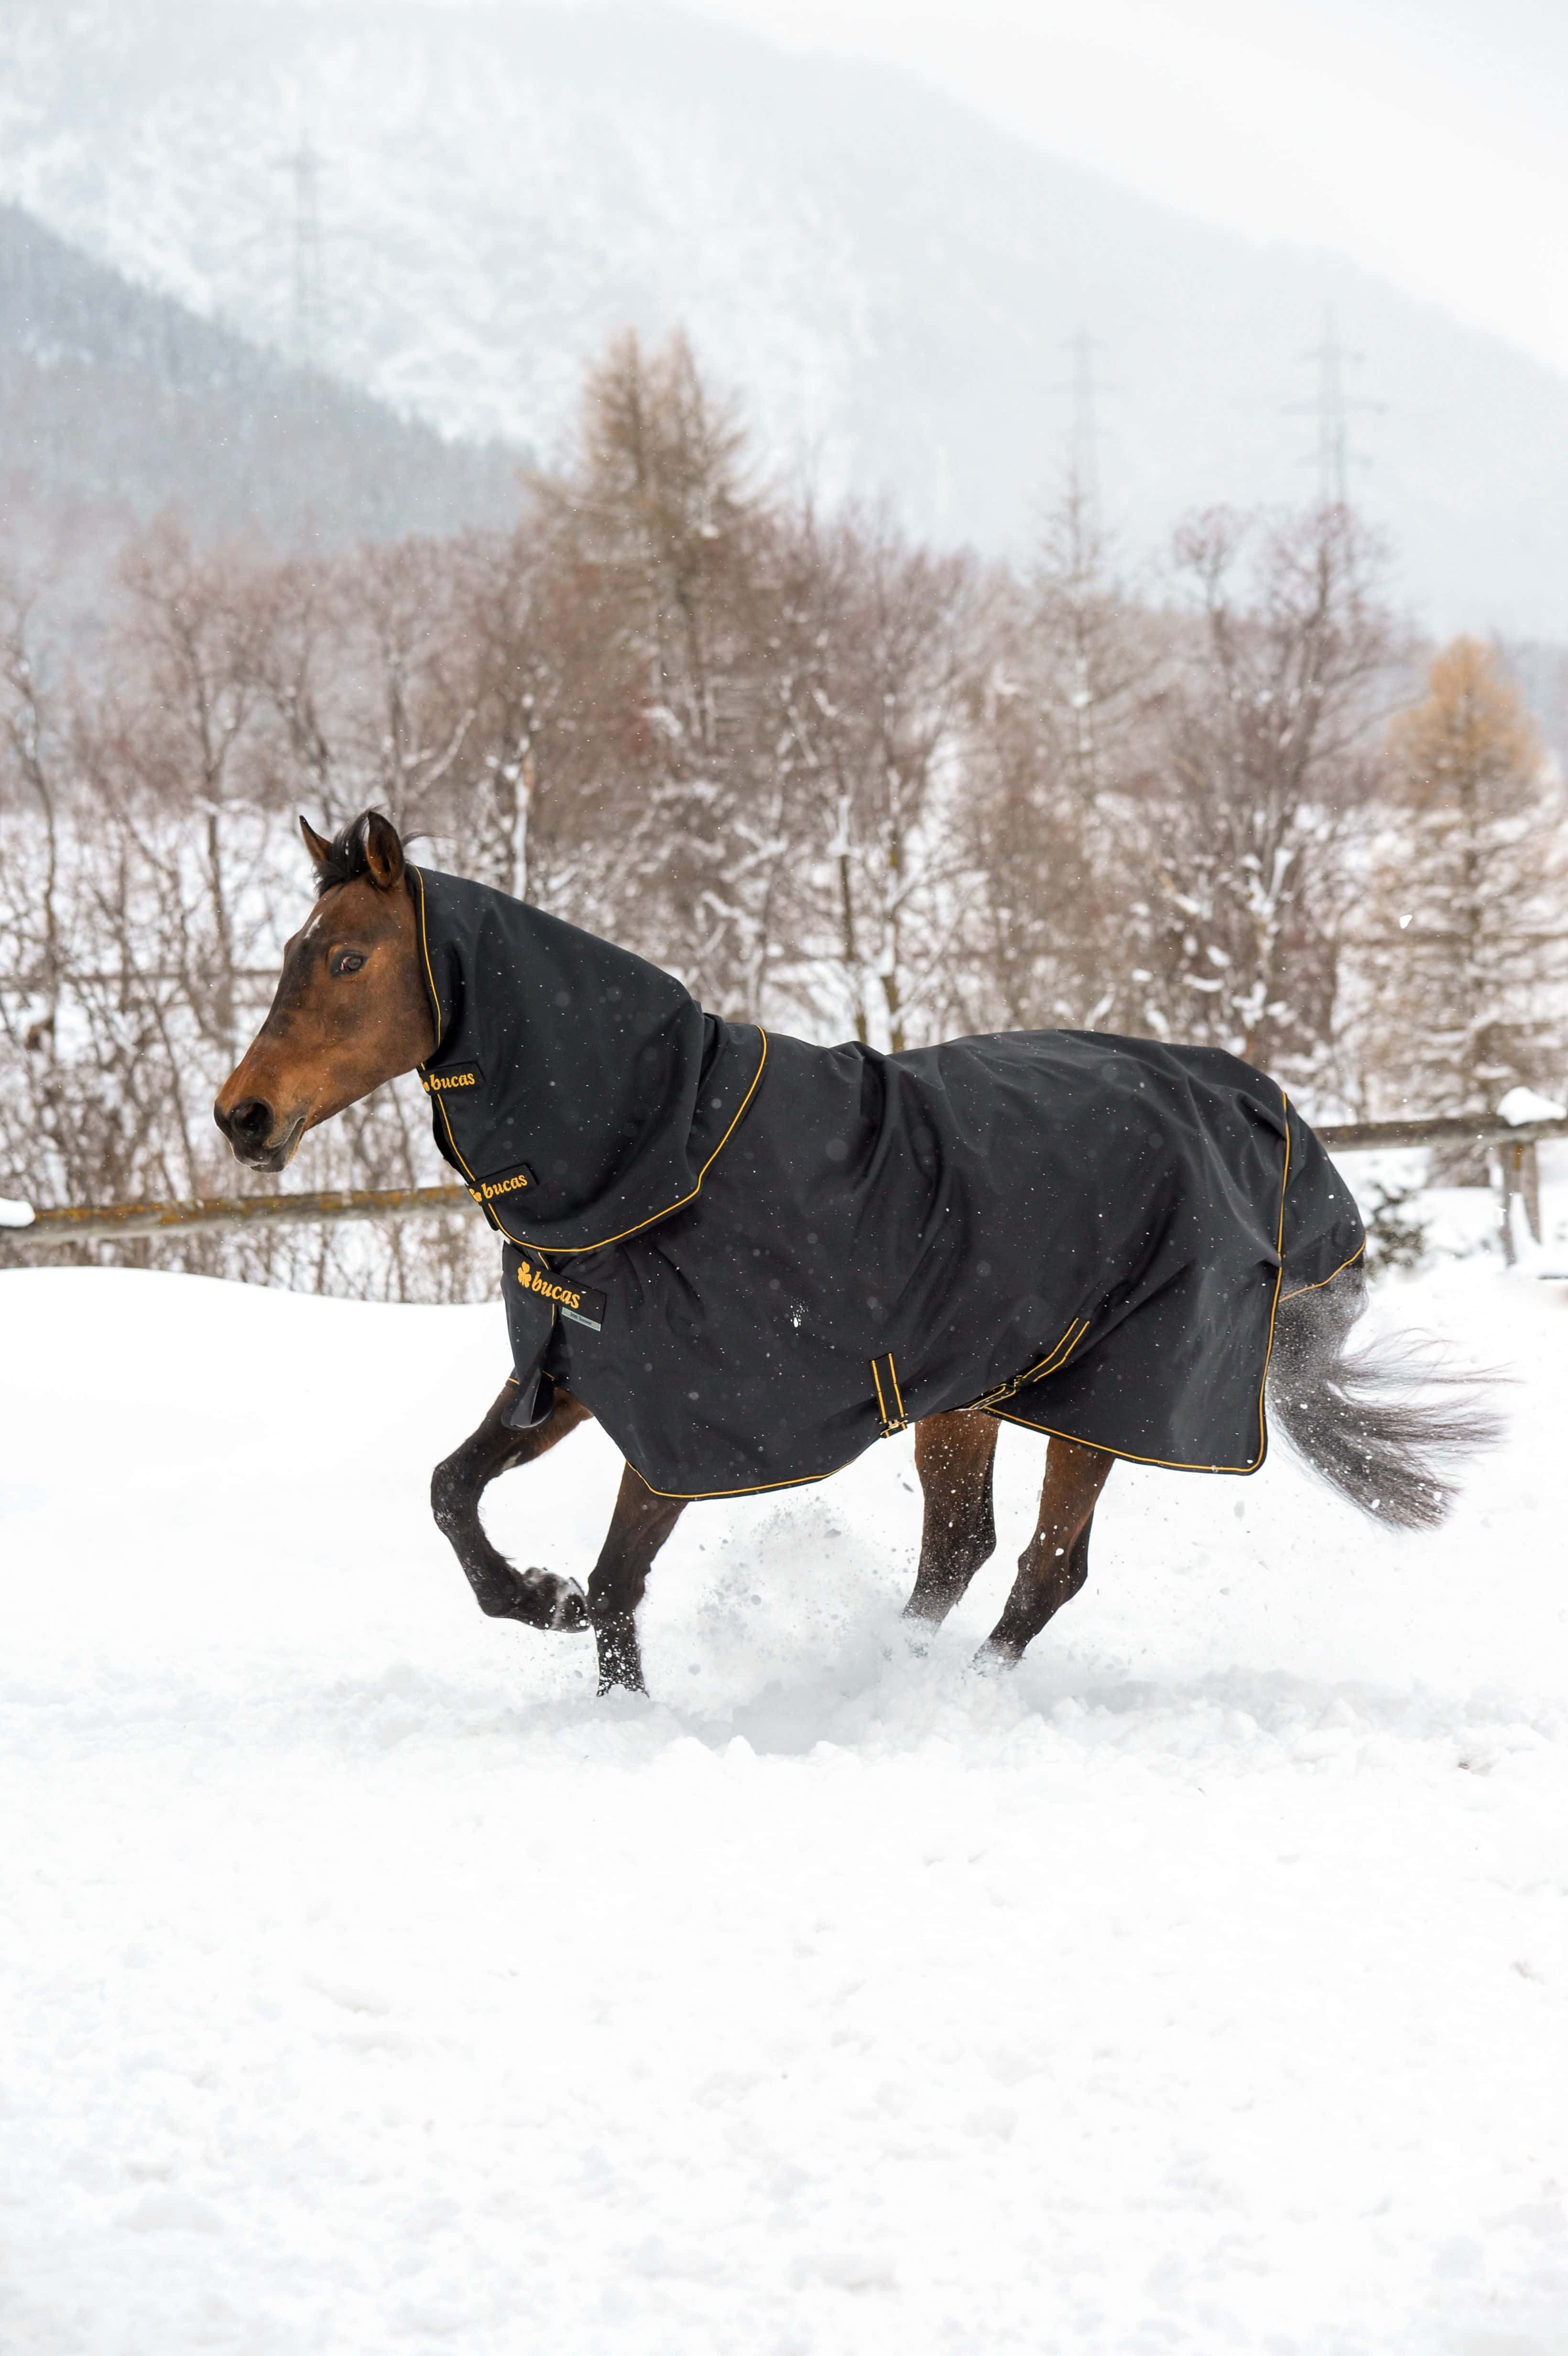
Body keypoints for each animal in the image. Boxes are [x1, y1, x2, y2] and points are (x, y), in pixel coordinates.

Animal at [215, 809, 1495, 1696]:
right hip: (969, 1394)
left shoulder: (693, 1420)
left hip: (1104, 1399)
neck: (652, 1153)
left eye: (346, 960)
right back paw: (893, 1666)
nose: (243, 1117)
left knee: (1044, 1566)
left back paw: (936, 1696)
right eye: (289, 949)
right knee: (959, 1549)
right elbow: (451, 1492)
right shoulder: (572, 1373)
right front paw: (536, 1597)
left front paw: (605, 1676)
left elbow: (623, 1575)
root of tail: (1264, 1118)